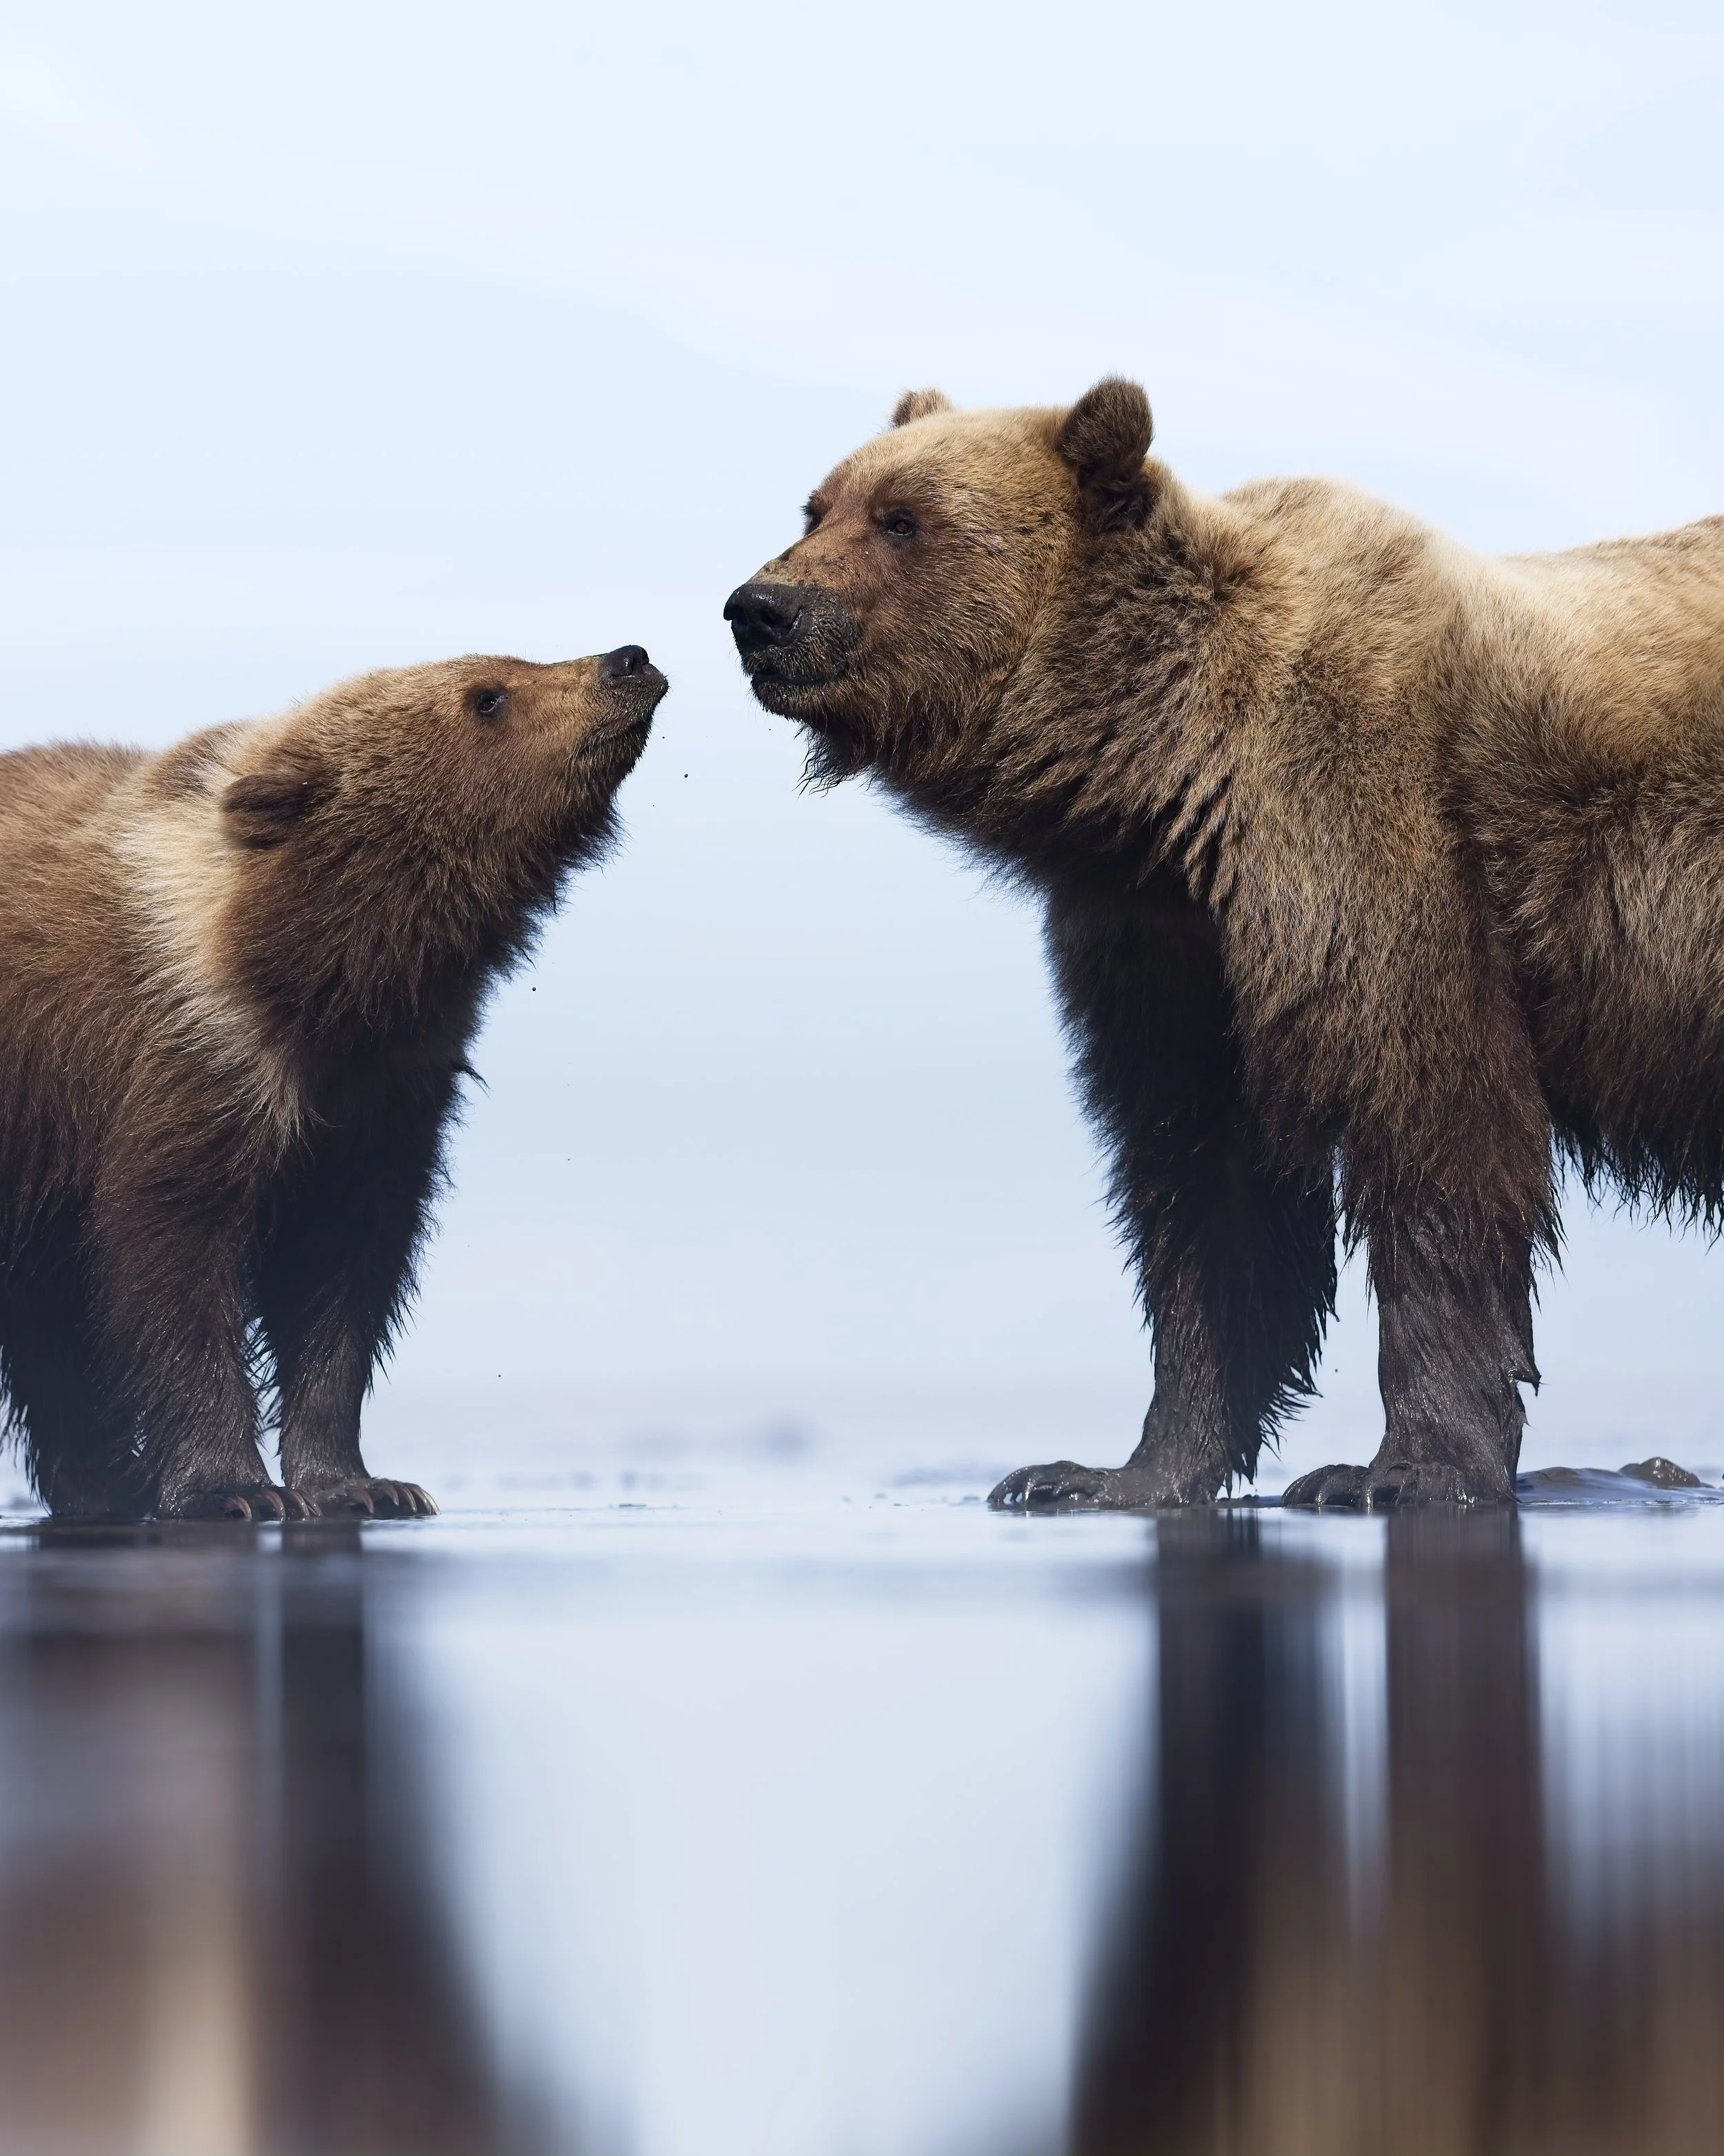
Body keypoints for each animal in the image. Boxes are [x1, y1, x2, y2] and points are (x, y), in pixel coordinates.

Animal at [0, 647, 665, 1520]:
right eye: (487, 696)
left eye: (510, 665)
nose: (628, 659)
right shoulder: (194, 1064)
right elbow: (174, 1265)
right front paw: (232, 1488)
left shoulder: (382, 1100)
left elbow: (341, 1282)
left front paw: (361, 1483)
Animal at [725, 379, 1724, 1509]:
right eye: (817, 506)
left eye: (903, 519)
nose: (759, 608)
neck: (1167, 764)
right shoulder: (1166, 940)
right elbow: (1205, 1189)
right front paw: (1103, 1469)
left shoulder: (1374, 836)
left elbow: (1431, 1136)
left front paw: (1395, 1469)